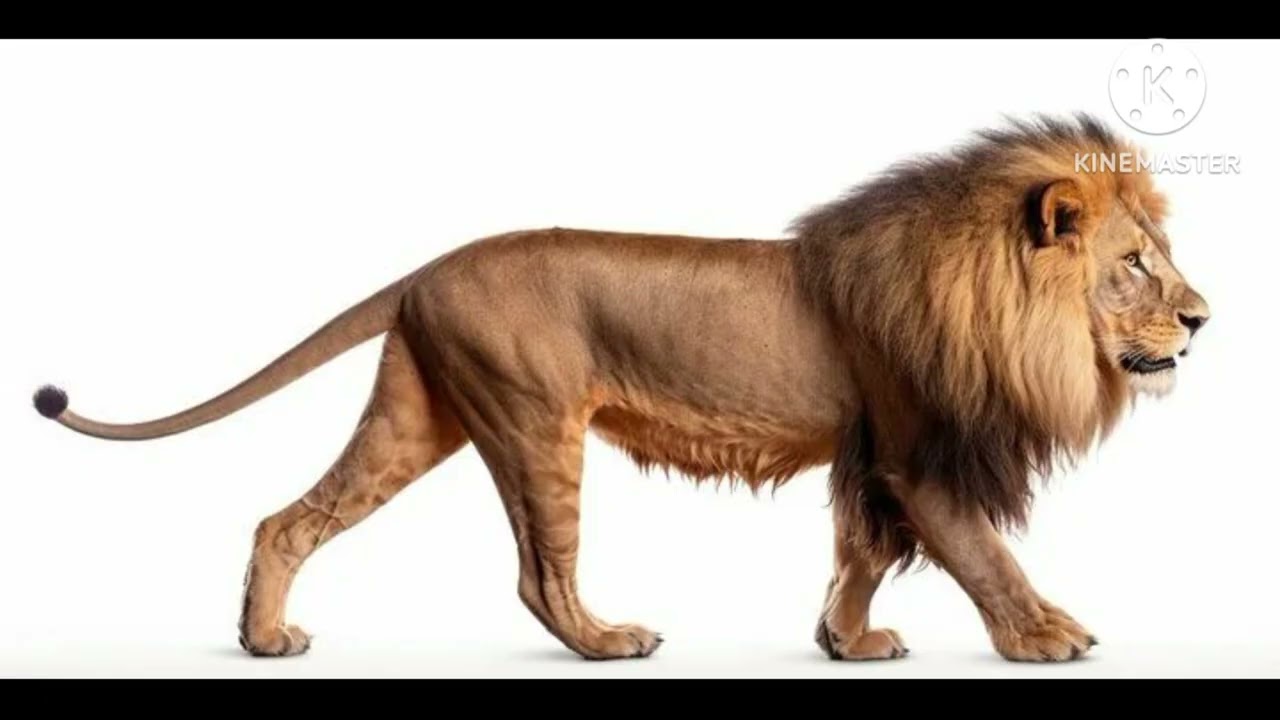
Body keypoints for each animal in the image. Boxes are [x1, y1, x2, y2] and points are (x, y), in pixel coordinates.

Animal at [32, 114, 1209, 663]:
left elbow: (860, 555)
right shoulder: (919, 454)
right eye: (1136, 264)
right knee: (537, 575)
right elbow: (983, 553)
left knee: (290, 519)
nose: (1203, 319)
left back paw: (262, 639)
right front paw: (1045, 637)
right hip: (532, 421)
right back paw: (608, 641)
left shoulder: (870, 454)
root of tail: (424, 270)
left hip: (418, 414)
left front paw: (847, 641)